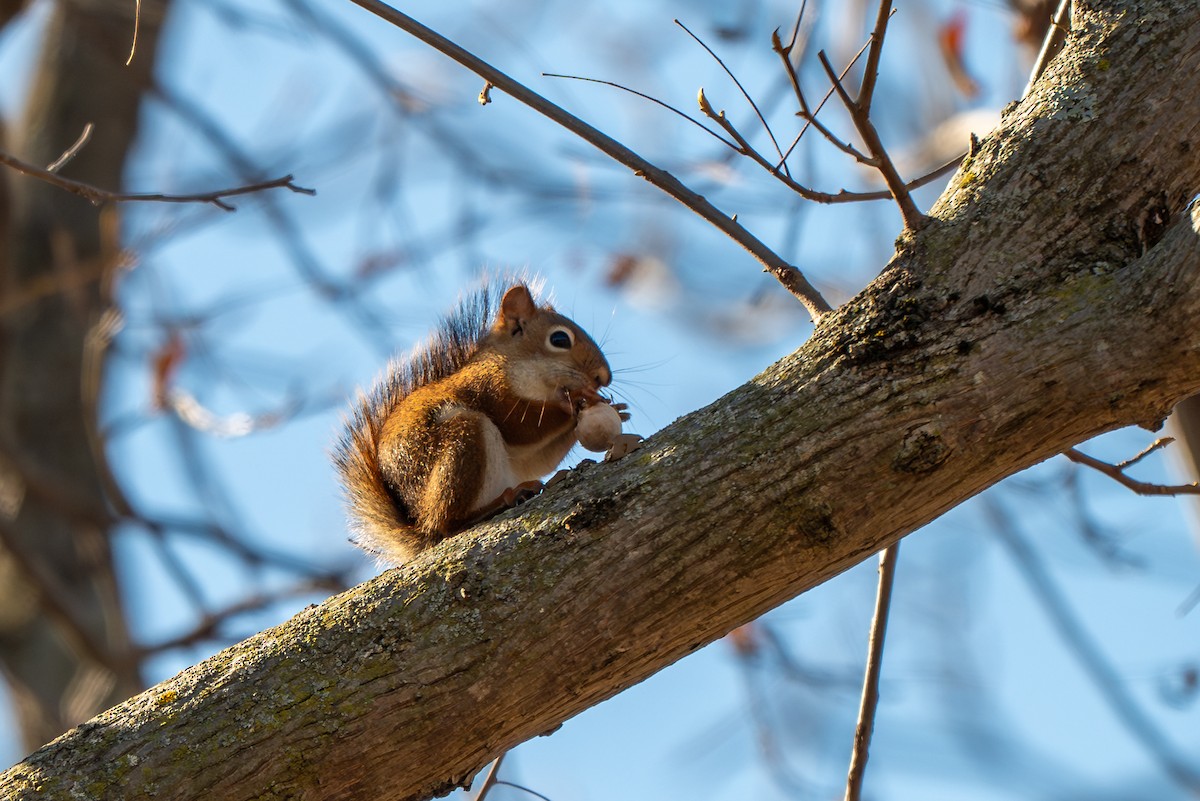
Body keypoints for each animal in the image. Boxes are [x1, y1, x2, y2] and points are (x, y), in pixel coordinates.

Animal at [335, 281, 626, 564]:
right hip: (463, 439)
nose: (604, 377)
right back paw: (505, 499)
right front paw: (575, 402)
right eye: (559, 339)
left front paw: (617, 409)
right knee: (448, 524)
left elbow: (540, 458)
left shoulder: (527, 455)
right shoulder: (489, 390)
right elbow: (522, 426)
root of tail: (420, 523)